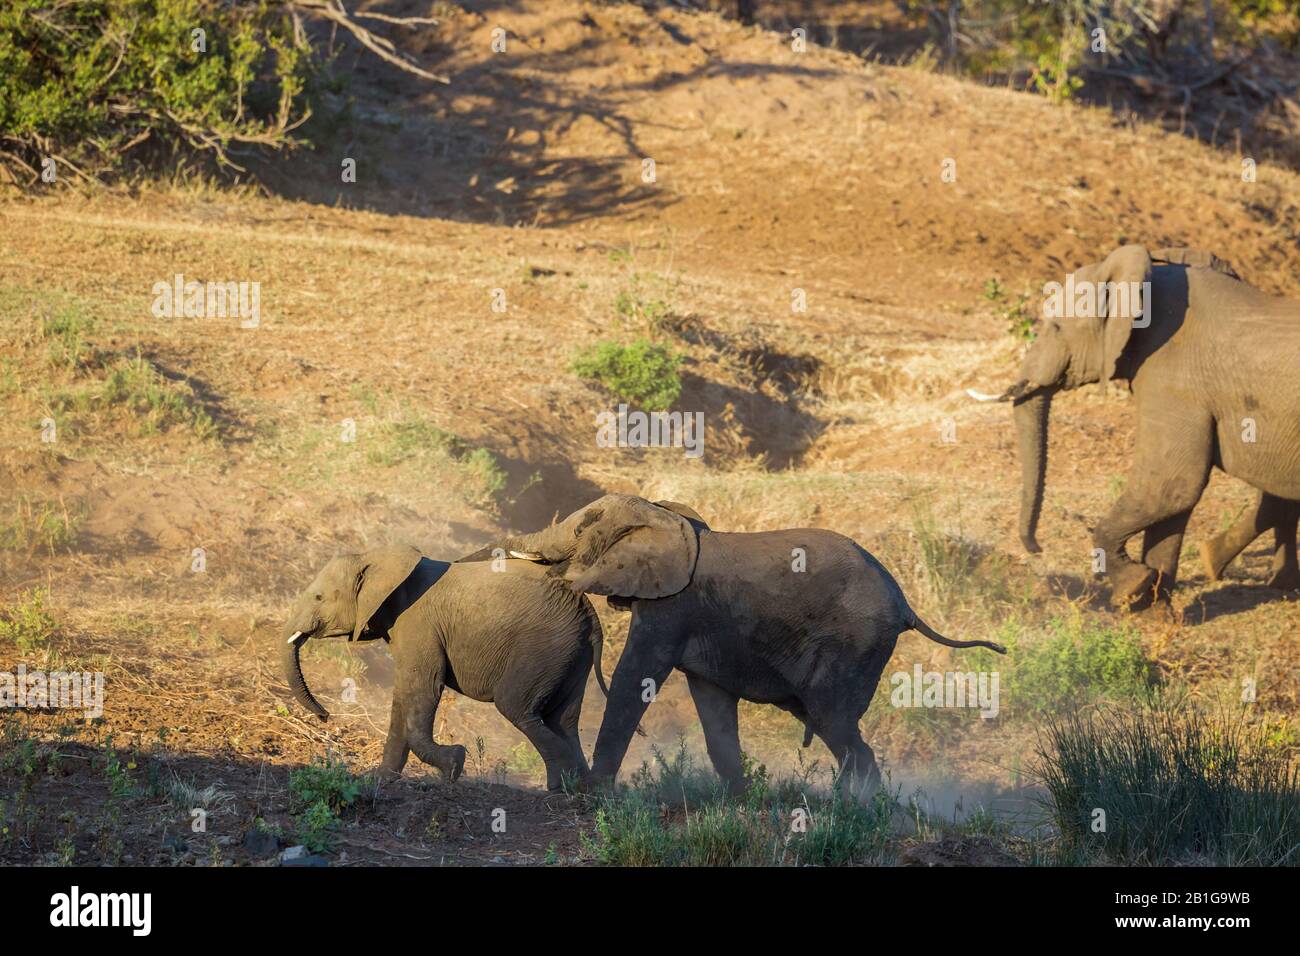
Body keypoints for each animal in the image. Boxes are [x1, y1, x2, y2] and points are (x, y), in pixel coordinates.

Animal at [282, 546, 605, 790]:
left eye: (319, 597)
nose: (325, 716)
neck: (378, 558)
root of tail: (590, 615)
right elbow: (403, 695)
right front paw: (379, 779)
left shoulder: (418, 624)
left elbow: (423, 687)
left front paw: (454, 765)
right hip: (571, 653)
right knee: (563, 719)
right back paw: (585, 789)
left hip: (545, 646)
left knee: (516, 706)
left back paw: (568, 788)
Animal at [465, 496, 1003, 796]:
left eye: (580, 529)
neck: (668, 518)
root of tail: (905, 603)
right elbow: (712, 704)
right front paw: (737, 800)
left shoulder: (673, 607)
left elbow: (634, 678)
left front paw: (596, 795)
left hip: (857, 641)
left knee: (833, 719)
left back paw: (857, 807)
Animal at [972, 247, 1300, 606]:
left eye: (1056, 327)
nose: (1036, 548)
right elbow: (1173, 498)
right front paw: (1153, 604)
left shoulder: (1173, 378)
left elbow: (1171, 485)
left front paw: (1133, 588)